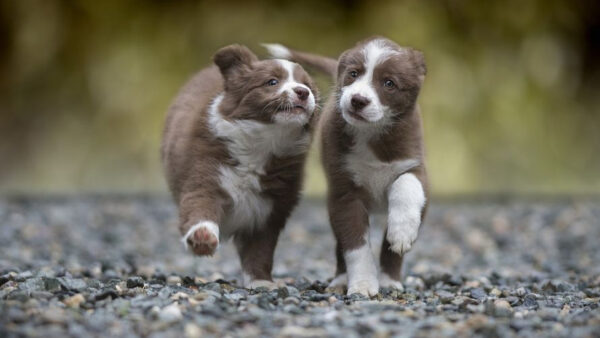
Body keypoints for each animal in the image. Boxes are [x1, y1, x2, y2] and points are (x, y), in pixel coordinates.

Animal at [159, 44, 318, 288]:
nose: (303, 92)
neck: (262, 145)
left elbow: (260, 250)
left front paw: (261, 282)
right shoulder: (206, 173)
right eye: (272, 81)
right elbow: (199, 205)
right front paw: (202, 237)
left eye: (308, 85)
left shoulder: (270, 207)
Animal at [266, 37, 426, 296]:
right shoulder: (344, 194)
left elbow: (407, 185)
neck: (370, 134)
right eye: (353, 74)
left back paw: (389, 279)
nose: (358, 100)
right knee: (340, 245)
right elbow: (355, 245)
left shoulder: (415, 164)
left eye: (389, 83)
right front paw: (362, 285)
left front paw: (401, 233)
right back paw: (341, 279)